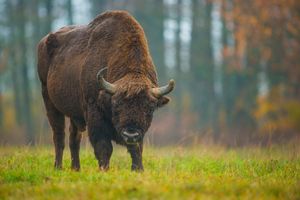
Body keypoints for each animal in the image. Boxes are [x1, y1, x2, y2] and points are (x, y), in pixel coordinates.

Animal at [36, 10, 175, 171]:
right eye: (116, 104)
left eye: (150, 107)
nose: (130, 134)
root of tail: (44, 41)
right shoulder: (95, 114)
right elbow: (104, 147)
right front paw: (104, 169)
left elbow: (137, 149)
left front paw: (138, 169)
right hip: (49, 99)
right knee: (59, 136)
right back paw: (58, 167)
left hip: (74, 113)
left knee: (74, 138)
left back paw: (76, 168)